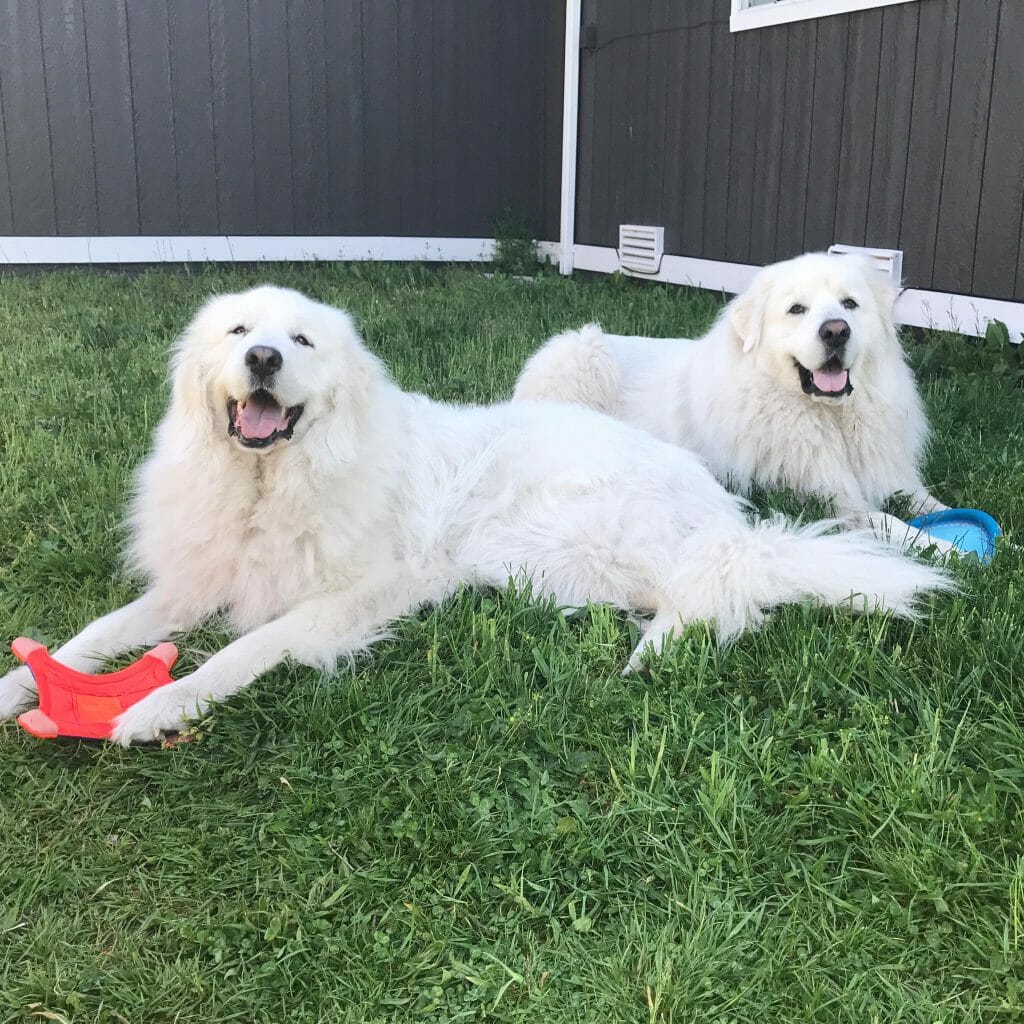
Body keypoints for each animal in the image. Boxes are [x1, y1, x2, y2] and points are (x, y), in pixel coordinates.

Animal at [0, 284, 950, 741]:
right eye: (239, 333)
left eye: (300, 341)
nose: (264, 358)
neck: (273, 482)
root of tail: (711, 497)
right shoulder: (194, 581)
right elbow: (91, 635)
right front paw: (19, 683)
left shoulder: (345, 598)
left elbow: (239, 654)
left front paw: (158, 707)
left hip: (579, 544)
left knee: (720, 591)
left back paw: (649, 655)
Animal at [516, 251, 946, 540]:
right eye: (797, 309)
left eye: (849, 304)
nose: (837, 331)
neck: (827, 416)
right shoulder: (828, 498)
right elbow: (891, 523)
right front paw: (948, 551)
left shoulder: (892, 478)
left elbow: (935, 505)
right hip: (582, 353)